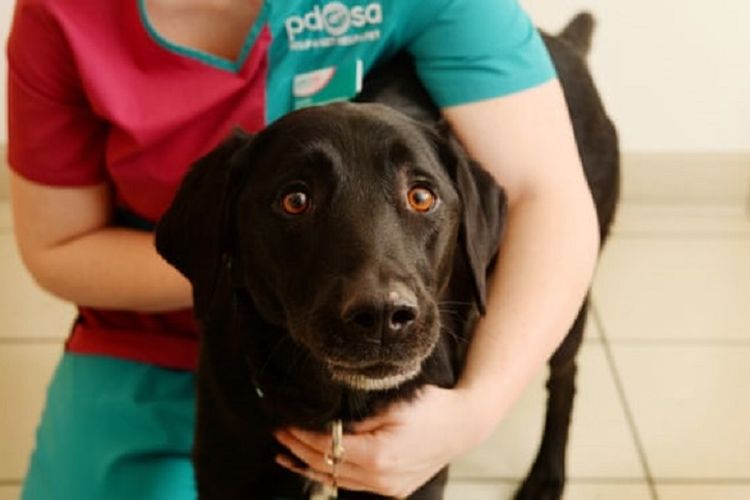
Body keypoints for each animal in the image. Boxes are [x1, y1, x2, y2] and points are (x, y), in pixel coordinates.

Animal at [156, 11, 620, 500]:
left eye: (421, 196)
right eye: (295, 200)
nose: (383, 316)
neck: (337, 415)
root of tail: (560, 41)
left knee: (564, 380)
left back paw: (547, 475)